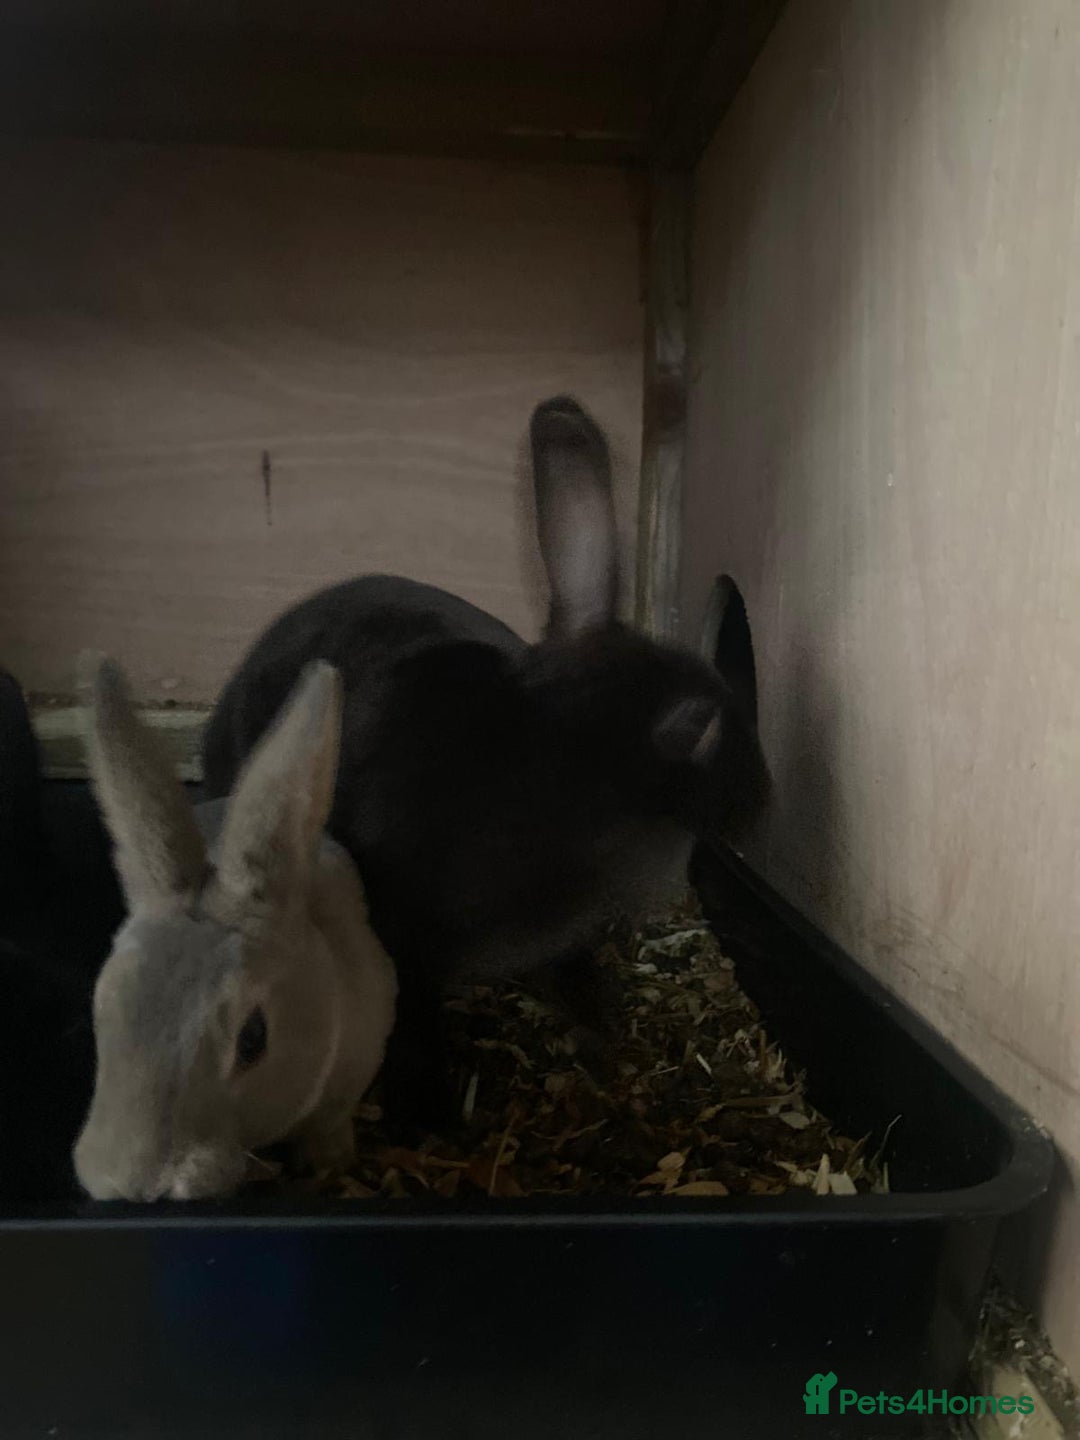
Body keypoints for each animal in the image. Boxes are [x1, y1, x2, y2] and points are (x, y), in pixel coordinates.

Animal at [201, 396, 770, 1128]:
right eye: (702, 721)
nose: (765, 800)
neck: (563, 759)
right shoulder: (401, 944)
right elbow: (411, 1031)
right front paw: (432, 1121)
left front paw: (604, 1035)